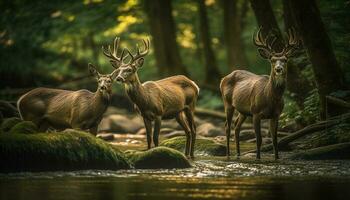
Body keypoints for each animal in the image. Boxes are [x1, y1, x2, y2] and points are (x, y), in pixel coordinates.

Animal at [220, 27, 300, 159]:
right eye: (272, 60)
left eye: (285, 60)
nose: (278, 69)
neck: (271, 99)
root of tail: (223, 78)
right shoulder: (256, 113)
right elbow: (259, 139)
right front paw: (258, 157)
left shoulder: (276, 115)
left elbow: (274, 139)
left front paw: (277, 157)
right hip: (228, 103)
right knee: (227, 126)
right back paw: (228, 154)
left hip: (243, 111)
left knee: (236, 126)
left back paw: (238, 153)